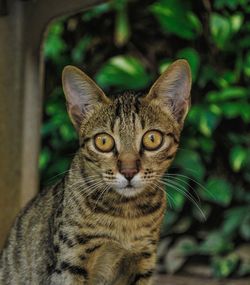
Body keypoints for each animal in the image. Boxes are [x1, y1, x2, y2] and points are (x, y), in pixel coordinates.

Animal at [0, 58, 191, 282]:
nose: (128, 172)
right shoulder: (69, 264)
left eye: (152, 139)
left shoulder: (144, 261)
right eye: (103, 141)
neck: (126, 216)